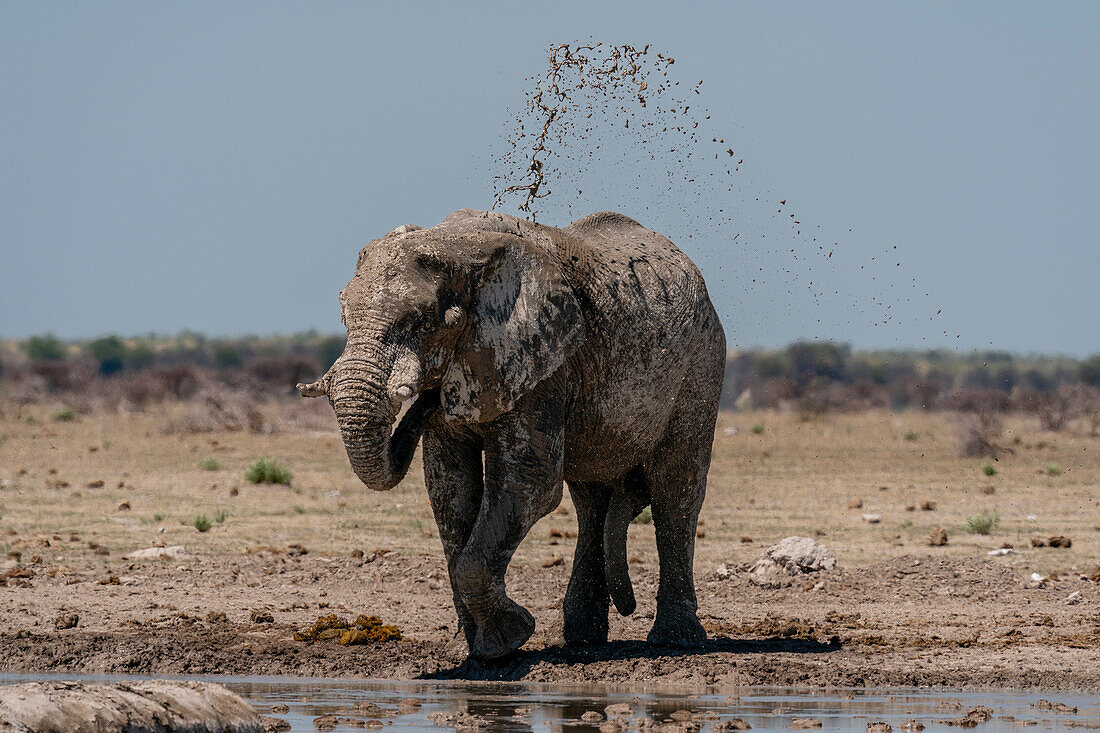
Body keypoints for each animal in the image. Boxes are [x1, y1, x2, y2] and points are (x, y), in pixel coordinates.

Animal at [297, 206, 726, 655]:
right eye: (343, 316)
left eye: (425, 320)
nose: (424, 402)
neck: (455, 244)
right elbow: (449, 486)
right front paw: (474, 652)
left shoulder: (542, 361)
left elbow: (528, 483)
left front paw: (509, 639)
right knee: (591, 500)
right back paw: (582, 640)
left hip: (701, 363)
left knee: (676, 490)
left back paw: (675, 640)